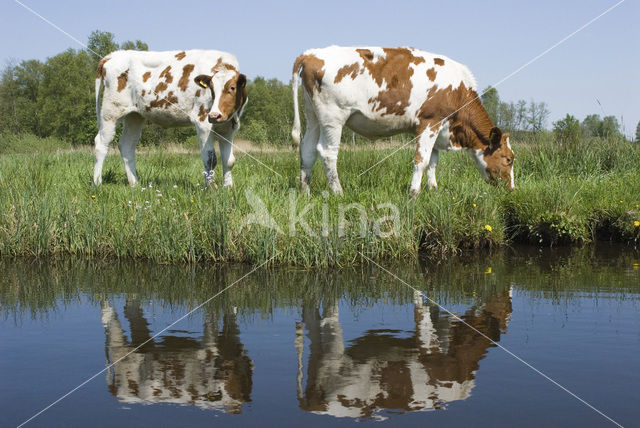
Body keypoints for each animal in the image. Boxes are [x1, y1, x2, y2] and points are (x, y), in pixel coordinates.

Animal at [92, 49, 248, 186]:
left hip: (134, 115)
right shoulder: (203, 121)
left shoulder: (229, 127)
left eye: (232, 88)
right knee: (101, 143)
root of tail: (111, 55)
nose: (215, 115)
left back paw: (135, 183)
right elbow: (210, 159)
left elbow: (229, 161)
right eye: (211, 89)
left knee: (126, 144)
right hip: (110, 111)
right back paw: (97, 183)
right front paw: (211, 188)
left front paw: (228, 188)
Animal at [290, 45, 516, 197]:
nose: (512, 189)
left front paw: (433, 190)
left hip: (313, 116)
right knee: (327, 153)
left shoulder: (439, 128)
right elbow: (421, 161)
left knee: (307, 150)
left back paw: (305, 191)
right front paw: (414, 194)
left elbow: (433, 162)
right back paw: (338, 192)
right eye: (508, 159)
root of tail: (310, 54)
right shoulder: (429, 122)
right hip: (333, 117)